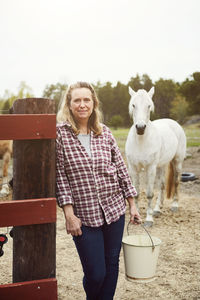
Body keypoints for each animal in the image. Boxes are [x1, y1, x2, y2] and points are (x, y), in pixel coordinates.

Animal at [126, 86, 187, 227]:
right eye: (133, 105)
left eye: (149, 106)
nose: (140, 128)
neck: (141, 142)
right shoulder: (133, 168)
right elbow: (137, 193)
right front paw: (136, 217)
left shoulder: (150, 168)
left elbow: (149, 194)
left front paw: (149, 219)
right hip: (161, 166)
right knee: (162, 185)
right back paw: (157, 209)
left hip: (177, 162)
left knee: (176, 181)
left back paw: (174, 206)